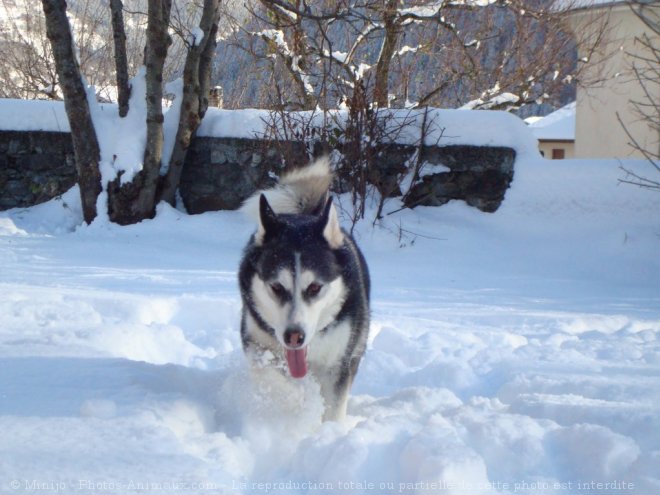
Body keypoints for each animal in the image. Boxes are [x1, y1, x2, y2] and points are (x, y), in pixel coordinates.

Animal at [237, 159, 372, 422]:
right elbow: (274, 378)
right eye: (276, 287)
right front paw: (297, 402)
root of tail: (304, 214)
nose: (294, 336)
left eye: (315, 287)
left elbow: (333, 407)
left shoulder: (337, 363)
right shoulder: (257, 344)